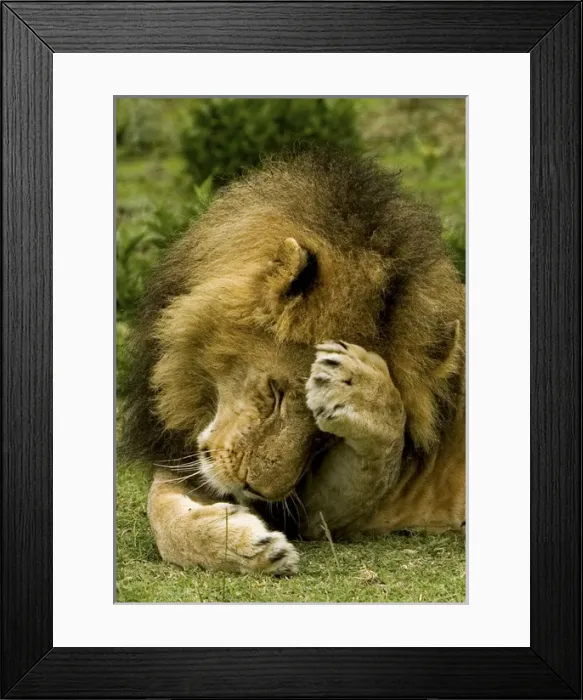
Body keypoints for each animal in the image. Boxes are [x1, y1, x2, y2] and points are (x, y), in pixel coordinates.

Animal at [119, 148, 465, 576]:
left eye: (324, 438)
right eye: (275, 392)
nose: (257, 491)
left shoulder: (324, 514)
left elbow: (386, 441)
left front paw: (362, 383)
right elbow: (162, 517)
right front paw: (246, 547)